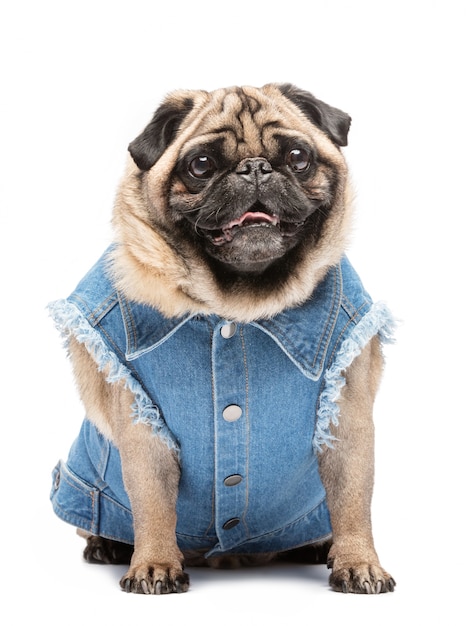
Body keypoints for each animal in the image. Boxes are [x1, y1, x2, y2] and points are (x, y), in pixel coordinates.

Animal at [49, 84, 396, 596]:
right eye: (201, 165)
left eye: (297, 158)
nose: (255, 168)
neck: (239, 306)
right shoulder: (142, 428)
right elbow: (152, 502)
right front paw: (155, 564)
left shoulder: (347, 418)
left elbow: (353, 498)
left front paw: (358, 561)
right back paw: (107, 544)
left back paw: (317, 545)